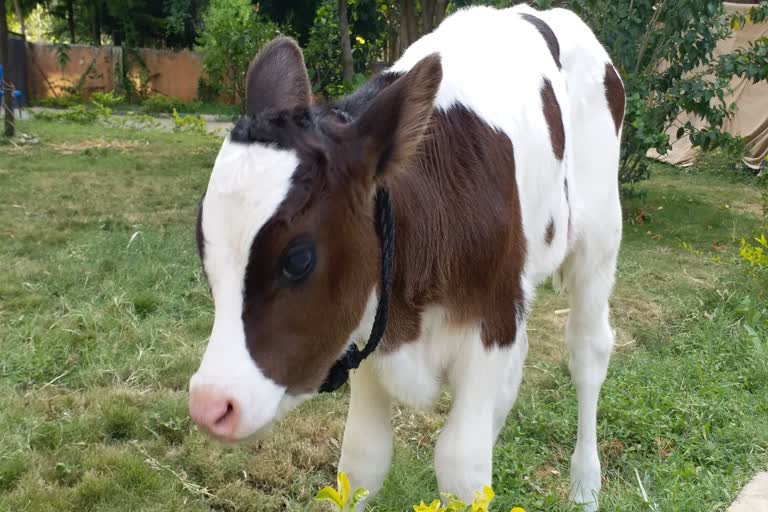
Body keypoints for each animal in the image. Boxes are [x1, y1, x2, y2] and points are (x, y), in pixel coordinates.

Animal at [188, 4, 624, 508]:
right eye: (204, 246)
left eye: (298, 259)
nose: (210, 405)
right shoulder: (367, 329)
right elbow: (362, 459)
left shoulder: (491, 320)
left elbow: (461, 465)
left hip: (600, 235)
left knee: (588, 351)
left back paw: (585, 487)